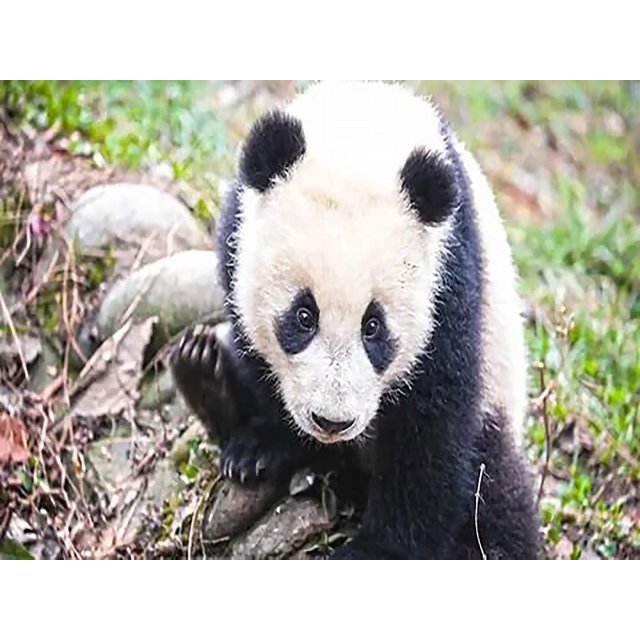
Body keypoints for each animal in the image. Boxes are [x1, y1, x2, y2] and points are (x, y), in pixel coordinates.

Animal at [172, 81, 540, 559]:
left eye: (373, 326)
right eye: (303, 316)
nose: (332, 423)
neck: (360, 136)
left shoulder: (449, 279)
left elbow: (432, 424)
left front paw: (379, 548)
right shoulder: (238, 234)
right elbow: (257, 355)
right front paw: (265, 444)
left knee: (493, 491)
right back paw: (206, 380)